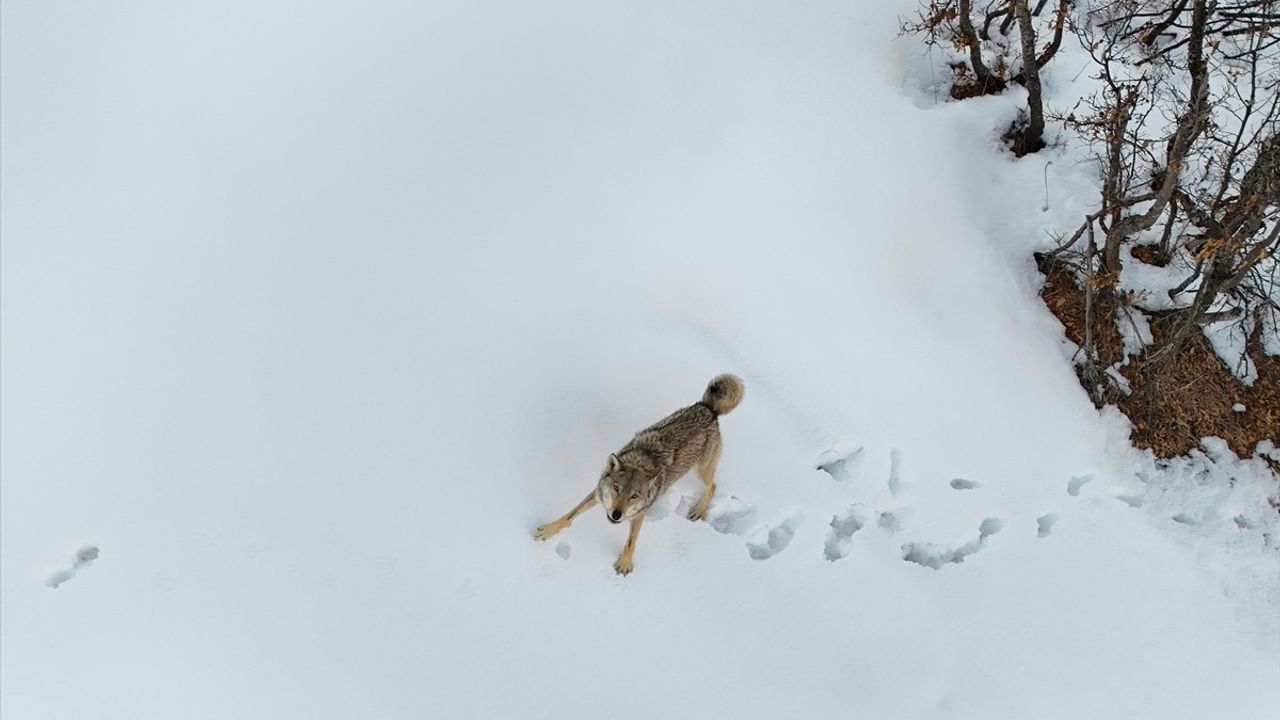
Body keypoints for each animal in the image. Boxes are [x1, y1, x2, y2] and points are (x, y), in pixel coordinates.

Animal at [532, 371, 747, 573]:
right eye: (616, 488)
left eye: (634, 496)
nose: (616, 515)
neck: (640, 462)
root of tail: (708, 408)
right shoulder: (597, 494)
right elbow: (569, 515)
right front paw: (548, 530)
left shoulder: (639, 515)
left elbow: (631, 542)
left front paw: (625, 564)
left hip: (700, 471)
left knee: (713, 486)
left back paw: (698, 511)